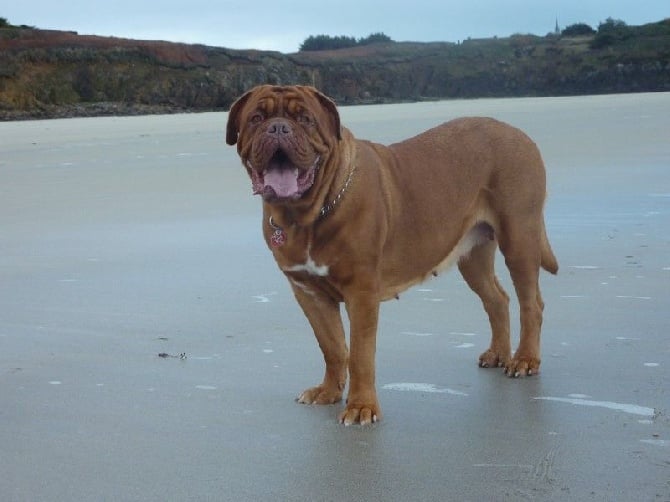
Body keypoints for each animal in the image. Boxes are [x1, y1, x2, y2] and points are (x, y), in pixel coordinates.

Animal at [228, 85, 560, 424]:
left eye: (305, 119)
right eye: (256, 118)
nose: (278, 128)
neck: (305, 215)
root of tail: (519, 133)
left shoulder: (361, 293)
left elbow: (360, 354)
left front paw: (361, 407)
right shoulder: (308, 292)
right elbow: (331, 347)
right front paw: (328, 392)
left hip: (519, 238)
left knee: (531, 303)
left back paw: (525, 360)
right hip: (473, 256)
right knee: (497, 299)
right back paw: (497, 354)